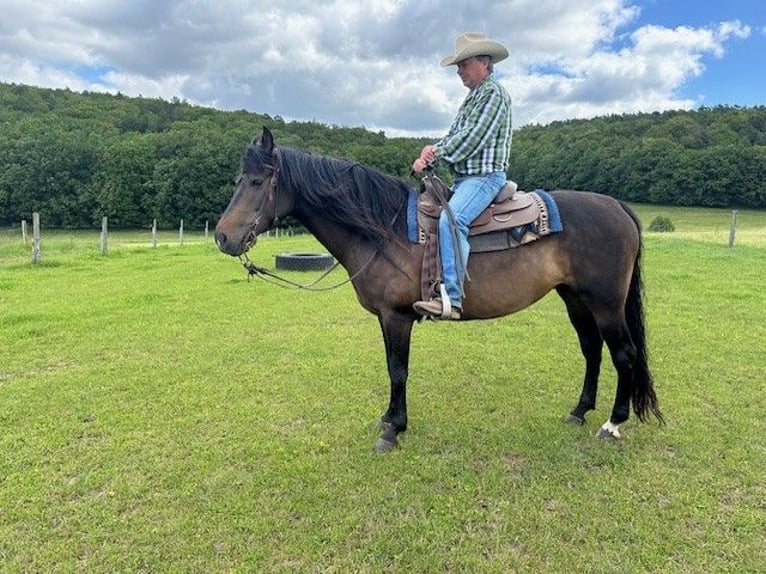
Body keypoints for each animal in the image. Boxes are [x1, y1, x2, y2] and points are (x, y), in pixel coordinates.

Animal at [213, 127, 664, 454]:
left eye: (257, 181)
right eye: (237, 180)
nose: (222, 237)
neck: (383, 231)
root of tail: (617, 207)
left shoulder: (397, 316)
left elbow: (398, 370)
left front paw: (393, 431)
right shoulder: (387, 318)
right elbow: (392, 368)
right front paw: (389, 419)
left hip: (606, 303)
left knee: (624, 354)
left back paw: (612, 423)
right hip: (575, 299)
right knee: (592, 350)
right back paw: (579, 411)